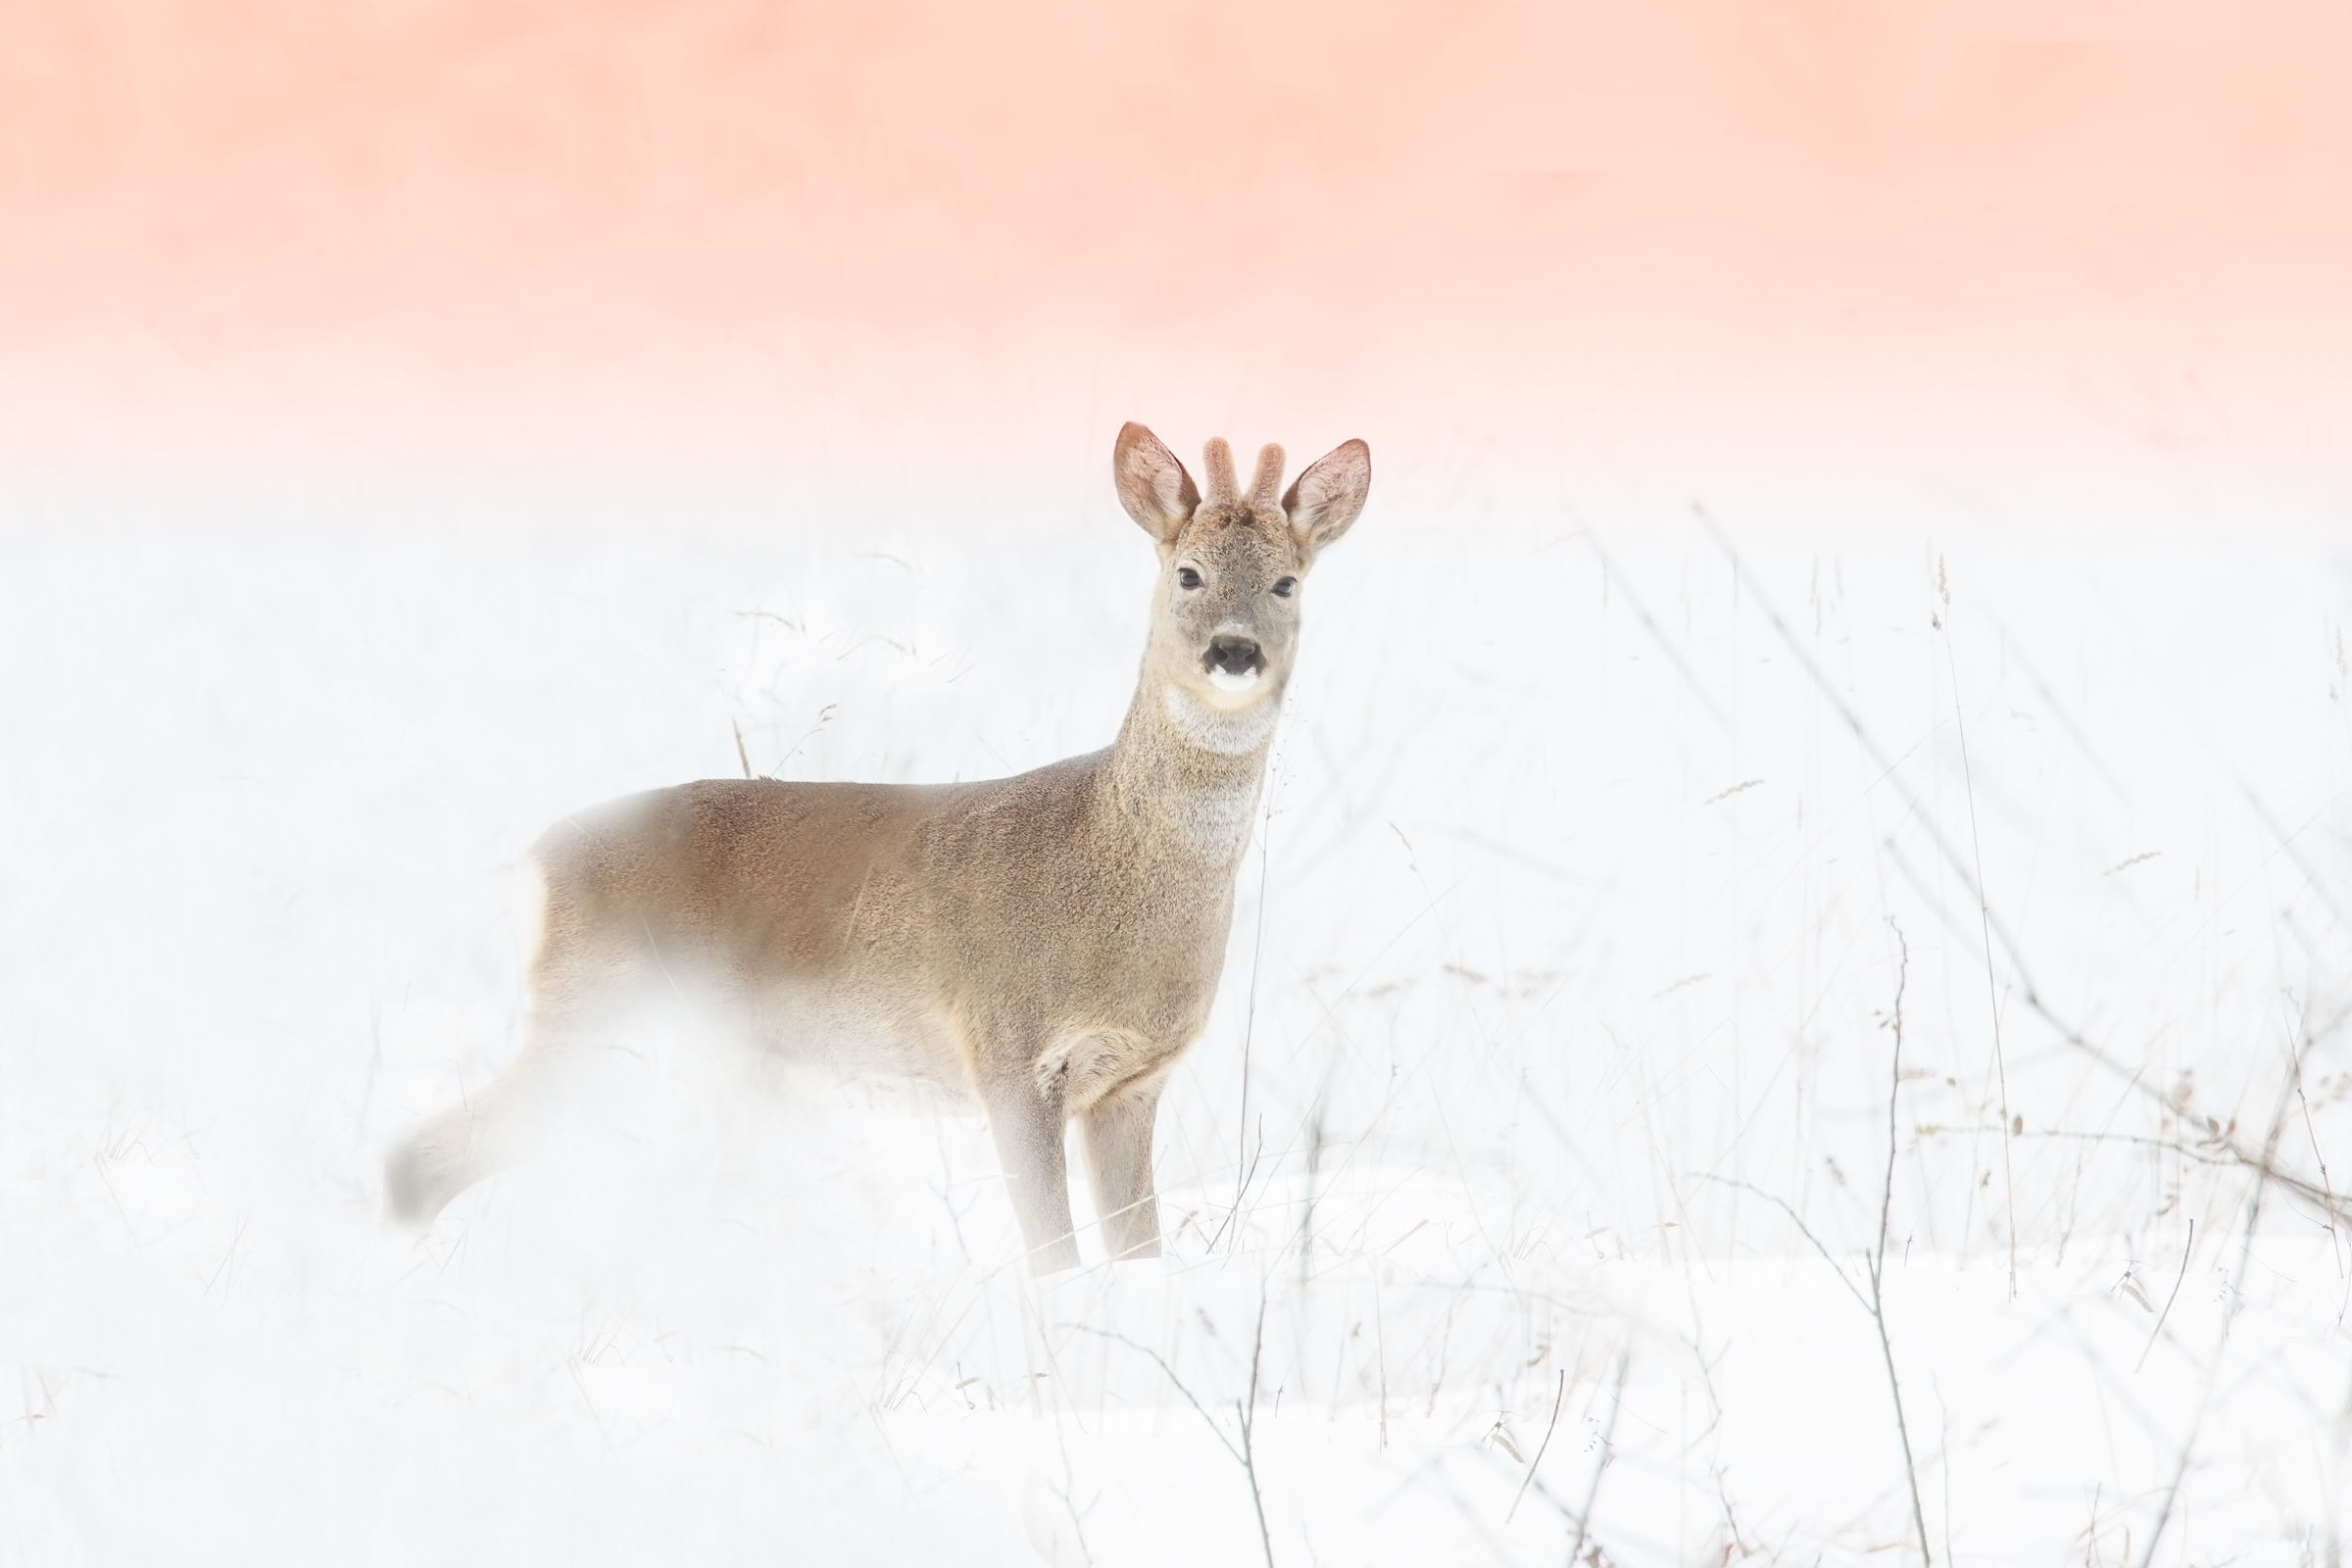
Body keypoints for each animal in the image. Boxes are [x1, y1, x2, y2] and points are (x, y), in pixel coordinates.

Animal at [385, 423, 1371, 1273]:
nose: (1234, 653)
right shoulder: (1006, 1050)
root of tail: (537, 859)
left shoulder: (1129, 1084)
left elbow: (1137, 1257)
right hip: (599, 1018)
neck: (1108, 874)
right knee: (419, 1162)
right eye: (1189, 574)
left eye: (1287, 583)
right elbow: (1052, 1260)